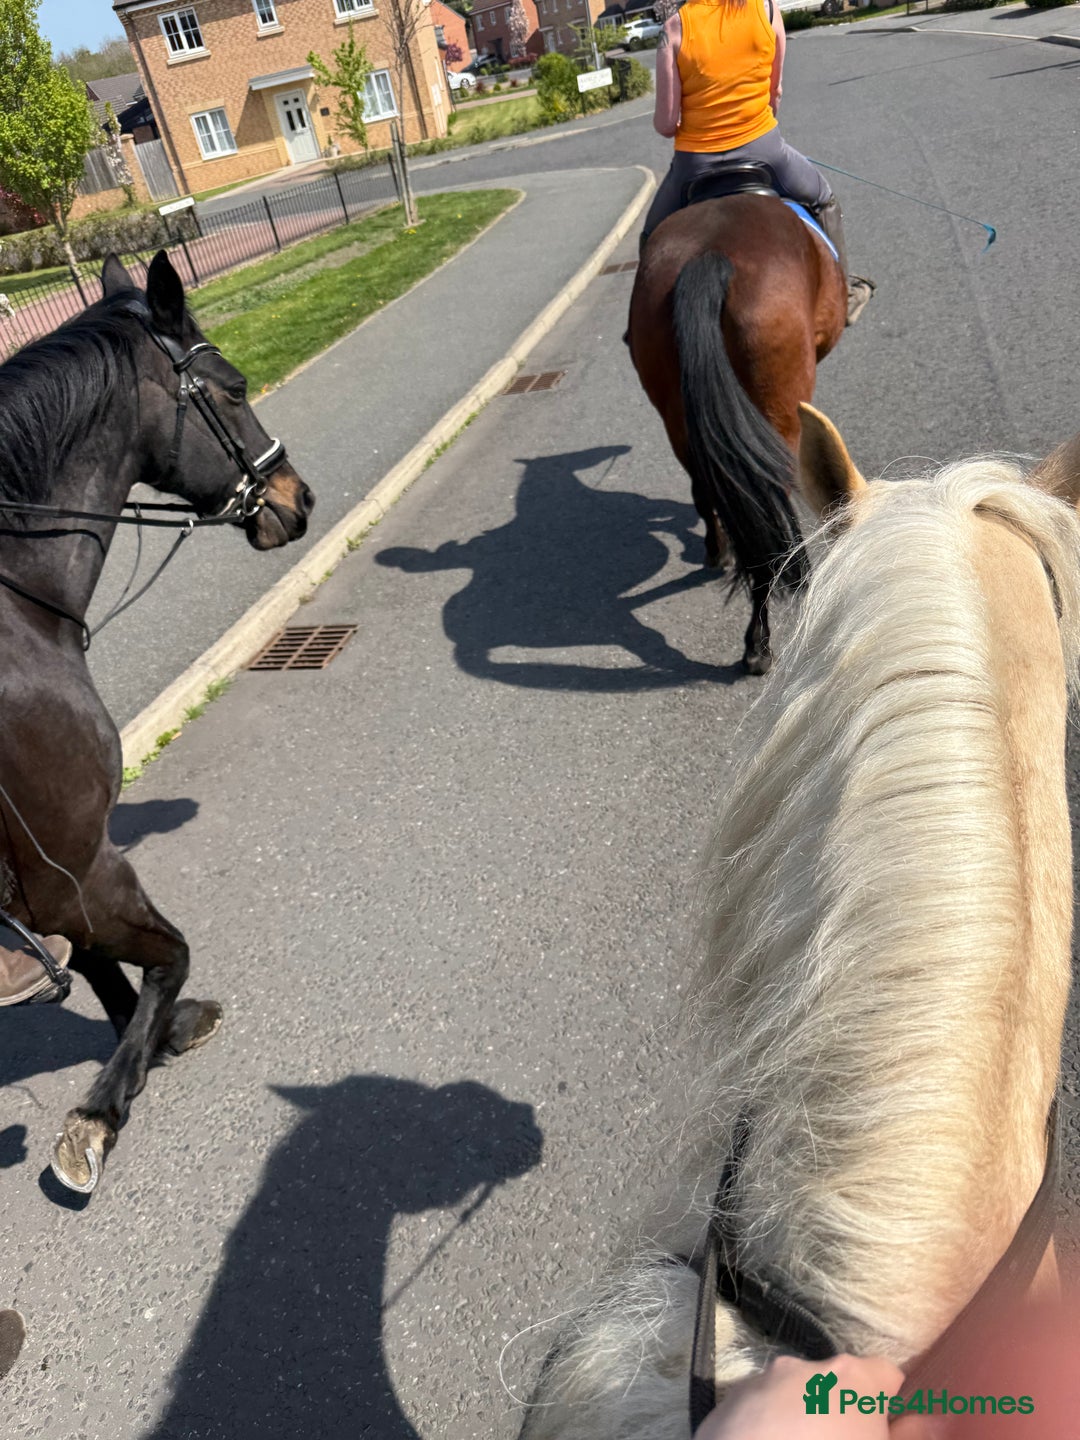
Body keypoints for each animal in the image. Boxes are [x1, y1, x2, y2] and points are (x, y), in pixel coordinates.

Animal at [0, 250, 314, 1194]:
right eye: (235, 387)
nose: (297, 497)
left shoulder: (57, 876)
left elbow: (118, 965)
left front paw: (151, 1043)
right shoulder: (72, 864)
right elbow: (167, 954)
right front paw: (103, 1109)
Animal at [628, 169, 847, 675]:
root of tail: (711, 257)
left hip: (677, 413)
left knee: (708, 486)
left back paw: (720, 553)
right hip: (777, 407)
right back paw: (760, 641)